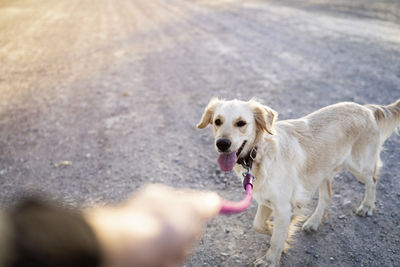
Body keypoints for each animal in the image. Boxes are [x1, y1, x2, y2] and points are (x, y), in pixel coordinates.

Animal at [198, 98, 400, 267]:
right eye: (217, 121)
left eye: (241, 123)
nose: (222, 143)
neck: (259, 153)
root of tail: (367, 109)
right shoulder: (266, 199)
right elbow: (259, 224)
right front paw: (278, 232)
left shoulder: (282, 206)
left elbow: (276, 238)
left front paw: (270, 259)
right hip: (322, 171)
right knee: (328, 196)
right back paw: (314, 222)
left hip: (359, 166)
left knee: (372, 180)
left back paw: (367, 206)